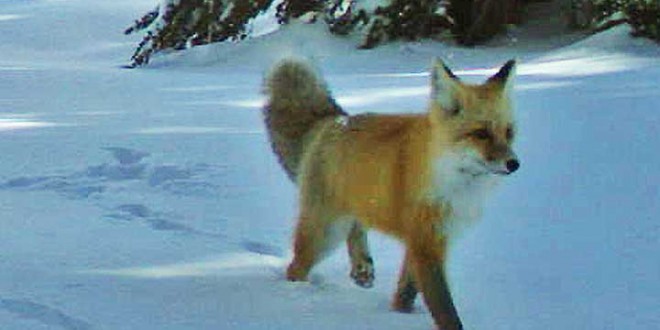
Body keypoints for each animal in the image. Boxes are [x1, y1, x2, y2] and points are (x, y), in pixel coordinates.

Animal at [264, 58, 520, 328]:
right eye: (481, 133)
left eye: (508, 132)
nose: (514, 164)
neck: (453, 181)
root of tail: (334, 120)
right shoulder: (425, 244)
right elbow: (445, 310)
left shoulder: (429, 238)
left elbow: (406, 293)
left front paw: (399, 314)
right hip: (325, 232)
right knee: (296, 267)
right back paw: (297, 296)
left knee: (356, 226)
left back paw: (361, 267)